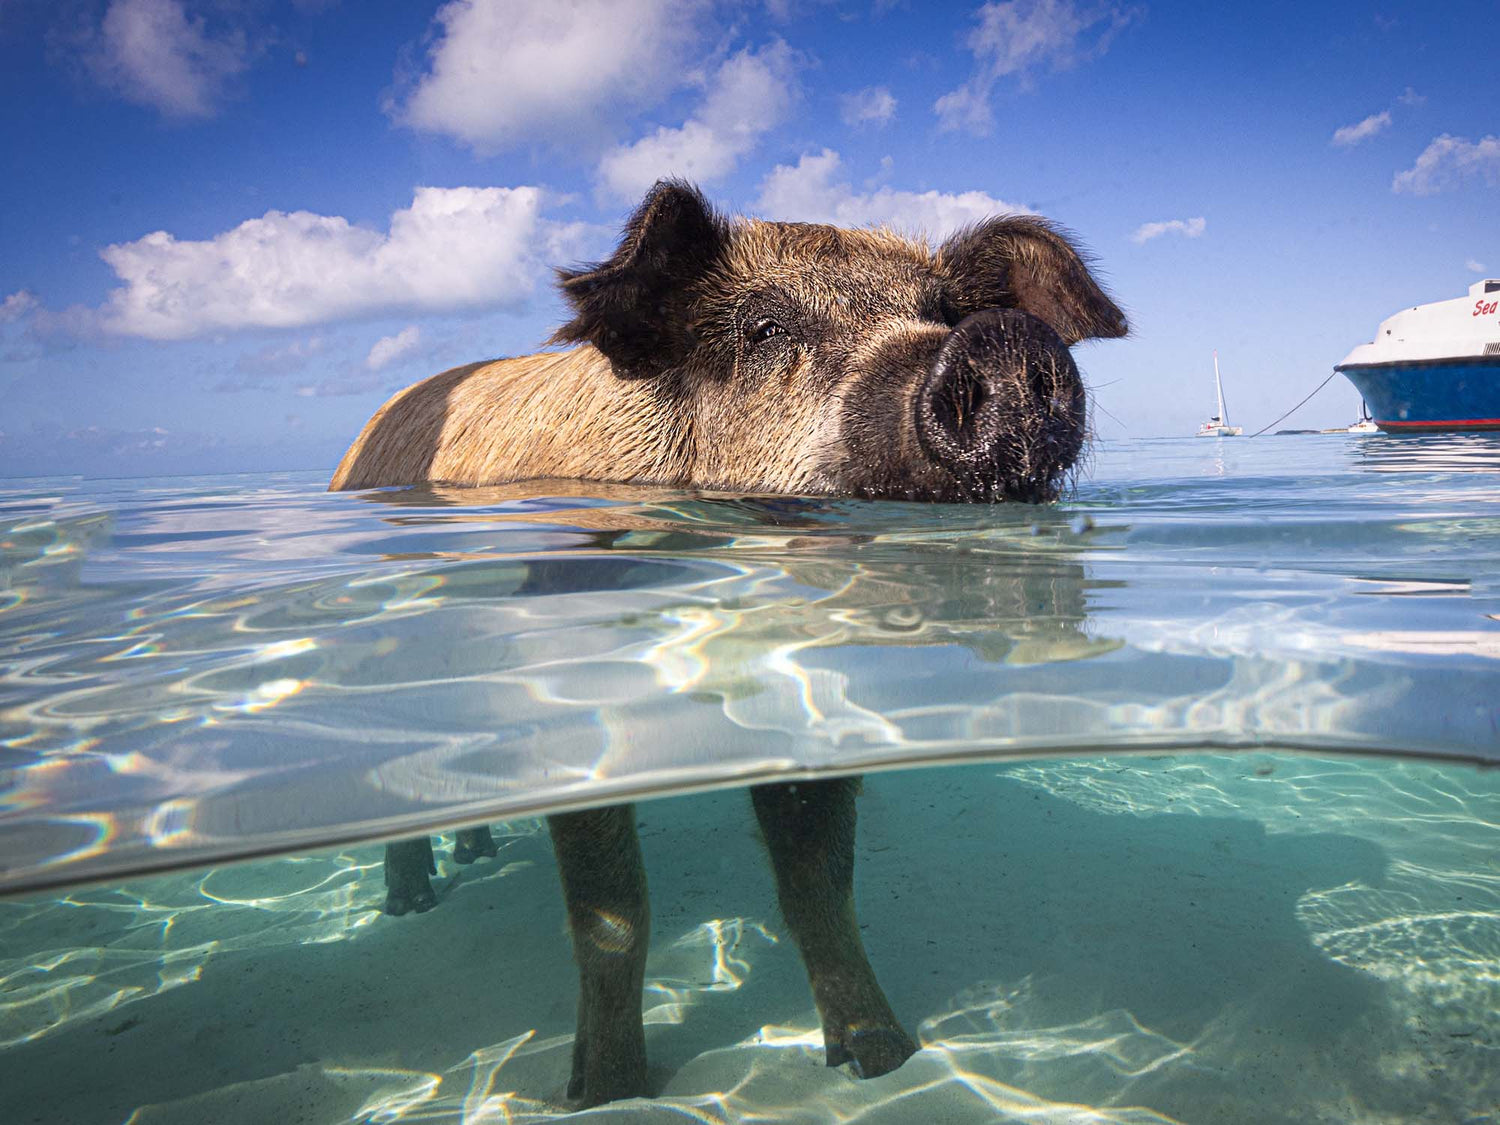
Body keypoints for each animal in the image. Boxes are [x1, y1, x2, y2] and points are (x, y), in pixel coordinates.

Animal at [328, 180, 1128, 1104]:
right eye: (763, 329)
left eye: (943, 312)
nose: (999, 337)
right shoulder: (579, 704)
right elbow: (614, 915)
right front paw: (606, 1093)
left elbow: (819, 888)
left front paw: (884, 1058)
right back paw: (412, 902)